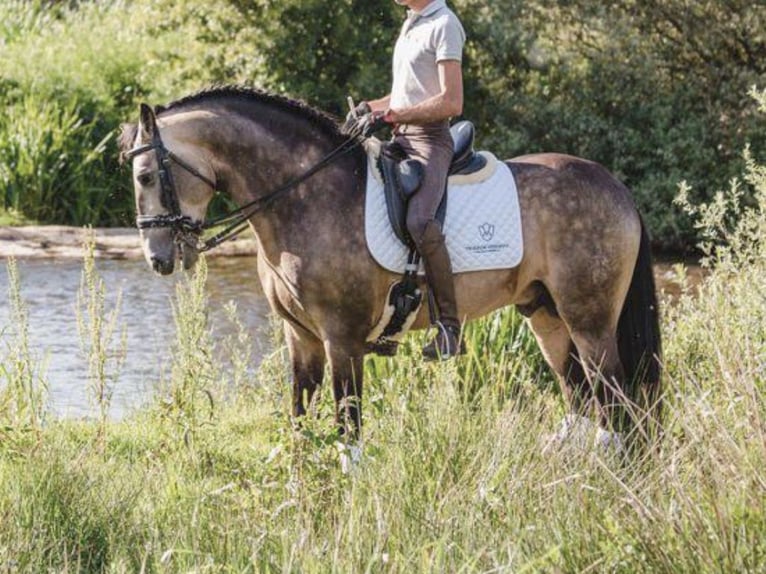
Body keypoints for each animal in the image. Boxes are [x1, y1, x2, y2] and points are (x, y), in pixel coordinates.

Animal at [117, 85, 664, 448]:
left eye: (145, 176)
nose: (159, 259)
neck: (303, 196)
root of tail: (616, 187)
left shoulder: (342, 339)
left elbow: (348, 432)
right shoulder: (303, 338)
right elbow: (298, 424)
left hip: (589, 320)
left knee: (619, 405)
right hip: (547, 317)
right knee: (586, 402)